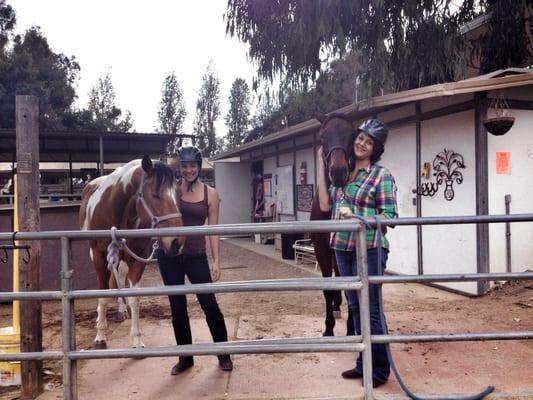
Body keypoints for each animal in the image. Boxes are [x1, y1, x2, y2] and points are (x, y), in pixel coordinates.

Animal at [79, 156, 185, 350]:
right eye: (155, 194)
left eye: (179, 194)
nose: (176, 242)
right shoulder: (99, 256)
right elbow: (103, 294)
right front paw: (100, 336)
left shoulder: (138, 258)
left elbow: (135, 298)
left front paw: (136, 339)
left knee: (120, 276)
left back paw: (122, 309)